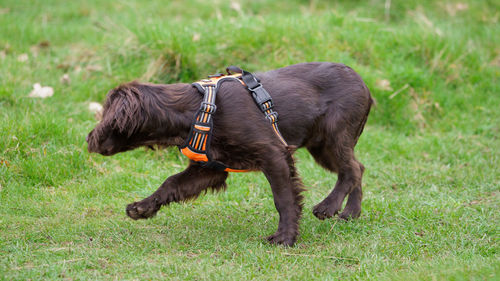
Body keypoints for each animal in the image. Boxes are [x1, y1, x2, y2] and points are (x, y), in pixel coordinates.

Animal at [88, 61, 374, 245]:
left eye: (106, 116)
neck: (196, 109)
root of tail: (364, 85)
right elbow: (170, 184)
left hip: (332, 137)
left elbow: (283, 199)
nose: (89, 139)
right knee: (358, 168)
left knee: (350, 170)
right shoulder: (210, 168)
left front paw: (285, 238)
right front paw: (142, 208)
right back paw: (350, 213)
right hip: (321, 146)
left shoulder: (274, 155)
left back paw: (329, 206)